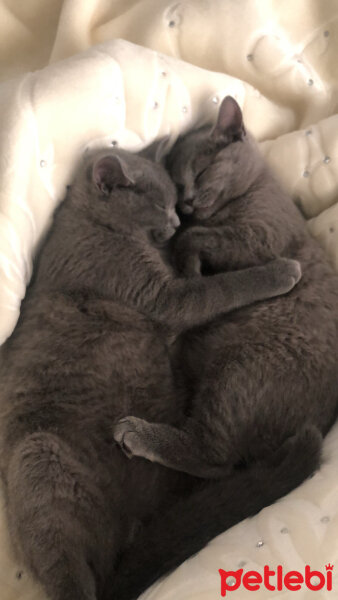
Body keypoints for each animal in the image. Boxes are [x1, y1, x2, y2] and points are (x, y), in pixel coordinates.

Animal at [0, 142, 300, 600]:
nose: (177, 221)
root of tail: (131, 531)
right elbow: (223, 288)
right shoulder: (161, 295)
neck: (92, 222)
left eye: (174, 202)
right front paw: (282, 271)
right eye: (160, 204)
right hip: (36, 457)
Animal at [111, 98, 338, 600]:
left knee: (214, 458)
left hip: (242, 372)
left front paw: (189, 262)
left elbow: (196, 238)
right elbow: (193, 237)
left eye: (201, 169)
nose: (187, 203)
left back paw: (140, 433)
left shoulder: (261, 233)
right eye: (176, 186)